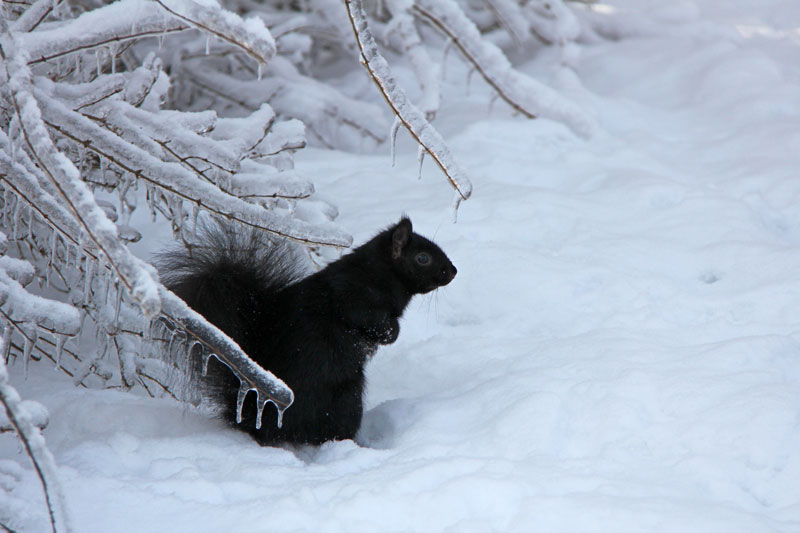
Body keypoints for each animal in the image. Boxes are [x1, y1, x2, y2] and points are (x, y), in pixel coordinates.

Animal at [157, 216, 456, 444]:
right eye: (422, 258)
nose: (452, 271)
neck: (379, 273)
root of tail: (254, 421)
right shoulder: (354, 297)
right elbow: (369, 319)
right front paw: (391, 334)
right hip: (347, 399)